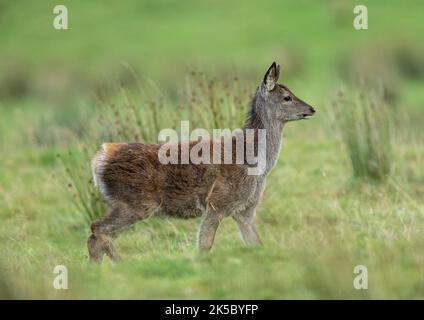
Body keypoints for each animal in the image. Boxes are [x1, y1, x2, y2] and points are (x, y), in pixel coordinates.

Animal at [88, 62, 314, 262]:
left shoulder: (245, 209)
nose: (312, 109)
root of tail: (100, 157)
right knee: (96, 230)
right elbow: (204, 245)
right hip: (135, 202)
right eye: (287, 97)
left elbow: (256, 244)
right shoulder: (217, 203)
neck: (254, 164)